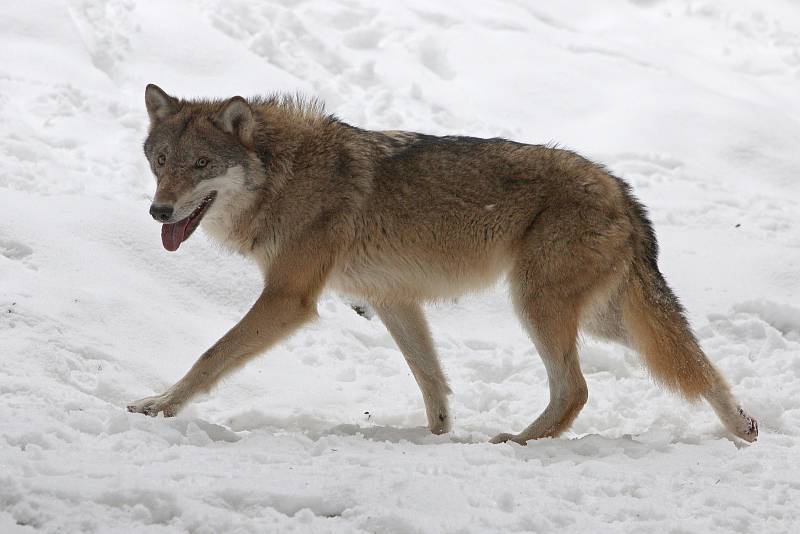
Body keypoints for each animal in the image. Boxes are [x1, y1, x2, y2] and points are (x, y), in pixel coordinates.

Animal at [128, 82, 760, 444]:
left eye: (202, 164)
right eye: (161, 161)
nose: (159, 211)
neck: (283, 174)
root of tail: (621, 190)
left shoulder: (289, 300)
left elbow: (210, 356)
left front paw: (159, 406)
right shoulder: (392, 300)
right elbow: (431, 381)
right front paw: (436, 438)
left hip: (538, 305)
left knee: (577, 389)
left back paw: (520, 443)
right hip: (602, 319)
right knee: (697, 364)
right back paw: (744, 429)